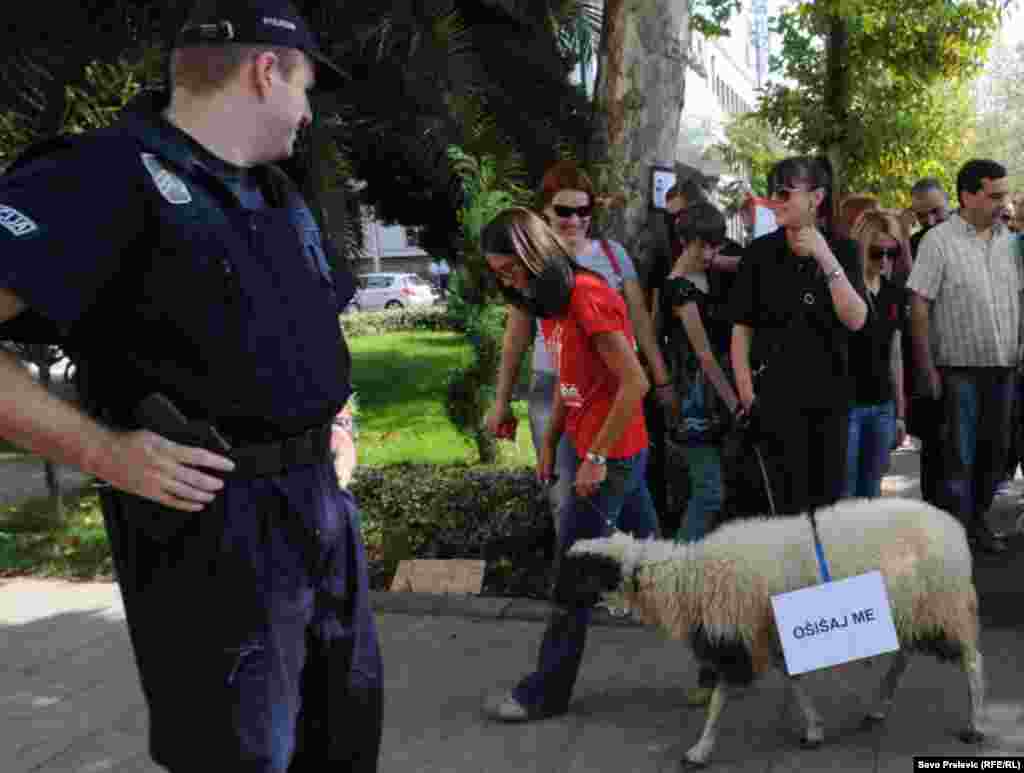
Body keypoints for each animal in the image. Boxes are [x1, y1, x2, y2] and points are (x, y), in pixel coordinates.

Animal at [552, 495, 983, 769]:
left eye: (581, 571)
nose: (554, 597)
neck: (688, 580)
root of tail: (954, 529)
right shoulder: (765, 635)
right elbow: (794, 682)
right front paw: (814, 729)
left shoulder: (738, 637)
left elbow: (719, 700)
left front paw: (699, 750)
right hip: (915, 610)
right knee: (904, 655)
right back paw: (878, 707)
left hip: (946, 607)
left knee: (973, 662)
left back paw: (975, 725)